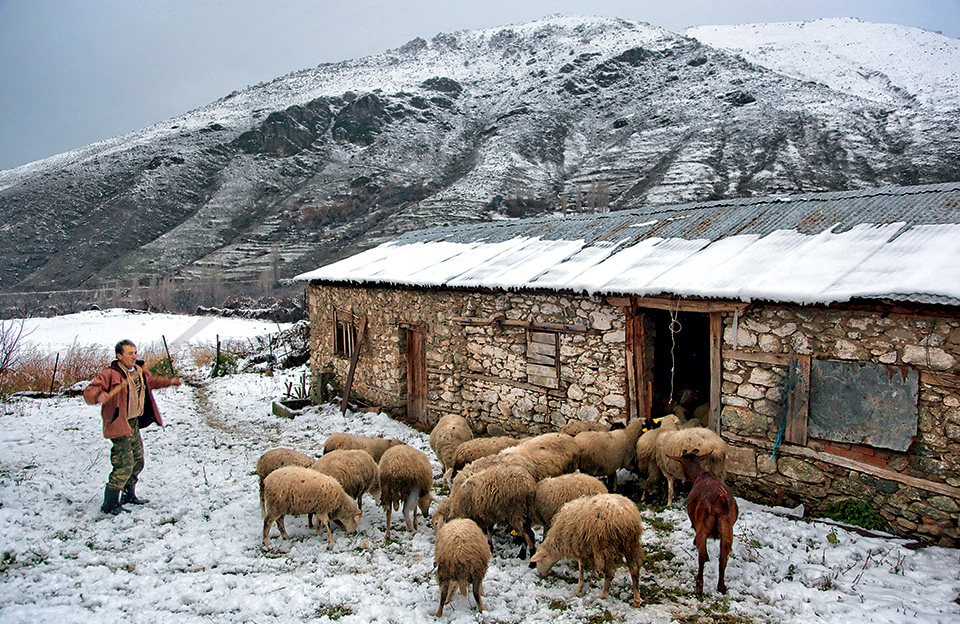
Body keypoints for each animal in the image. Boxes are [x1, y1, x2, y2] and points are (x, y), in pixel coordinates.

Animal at [672, 448, 740, 596]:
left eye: (681, 464)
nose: (683, 481)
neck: (700, 475)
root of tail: (719, 502)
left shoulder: (696, 524)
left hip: (703, 527)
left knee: (702, 556)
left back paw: (699, 586)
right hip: (727, 531)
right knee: (723, 557)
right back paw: (721, 587)